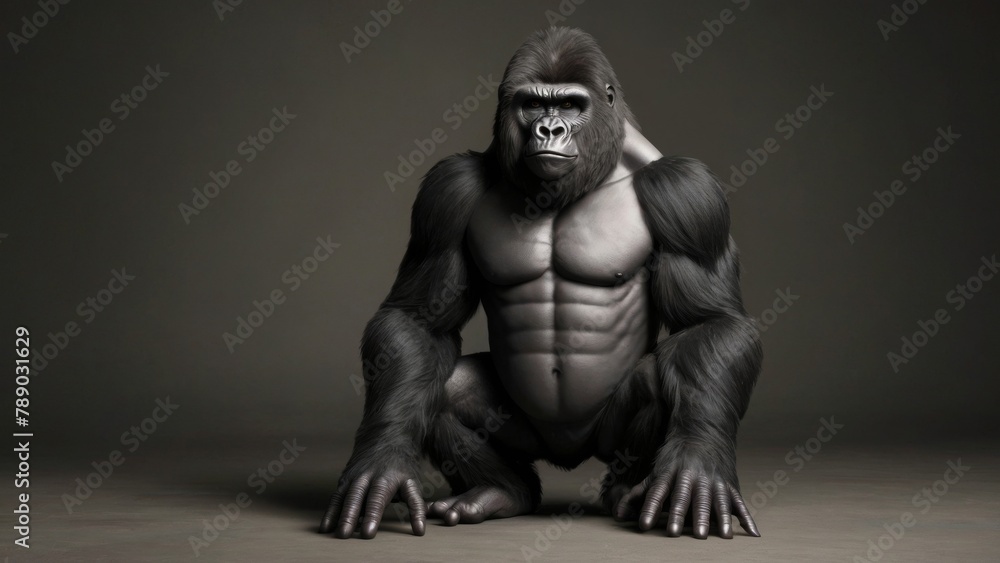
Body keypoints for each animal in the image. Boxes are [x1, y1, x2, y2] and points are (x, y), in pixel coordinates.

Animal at [320, 27, 762, 541]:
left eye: (571, 105)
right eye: (532, 105)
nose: (549, 129)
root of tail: (567, 455)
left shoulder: (689, 193)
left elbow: (708, 323)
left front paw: (698, 459)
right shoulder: (446, 192)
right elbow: (417, 322)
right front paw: (383, 458)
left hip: (603, 437)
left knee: (659, 379)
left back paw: (626, 493)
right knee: (447, 388)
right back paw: (502, 491)